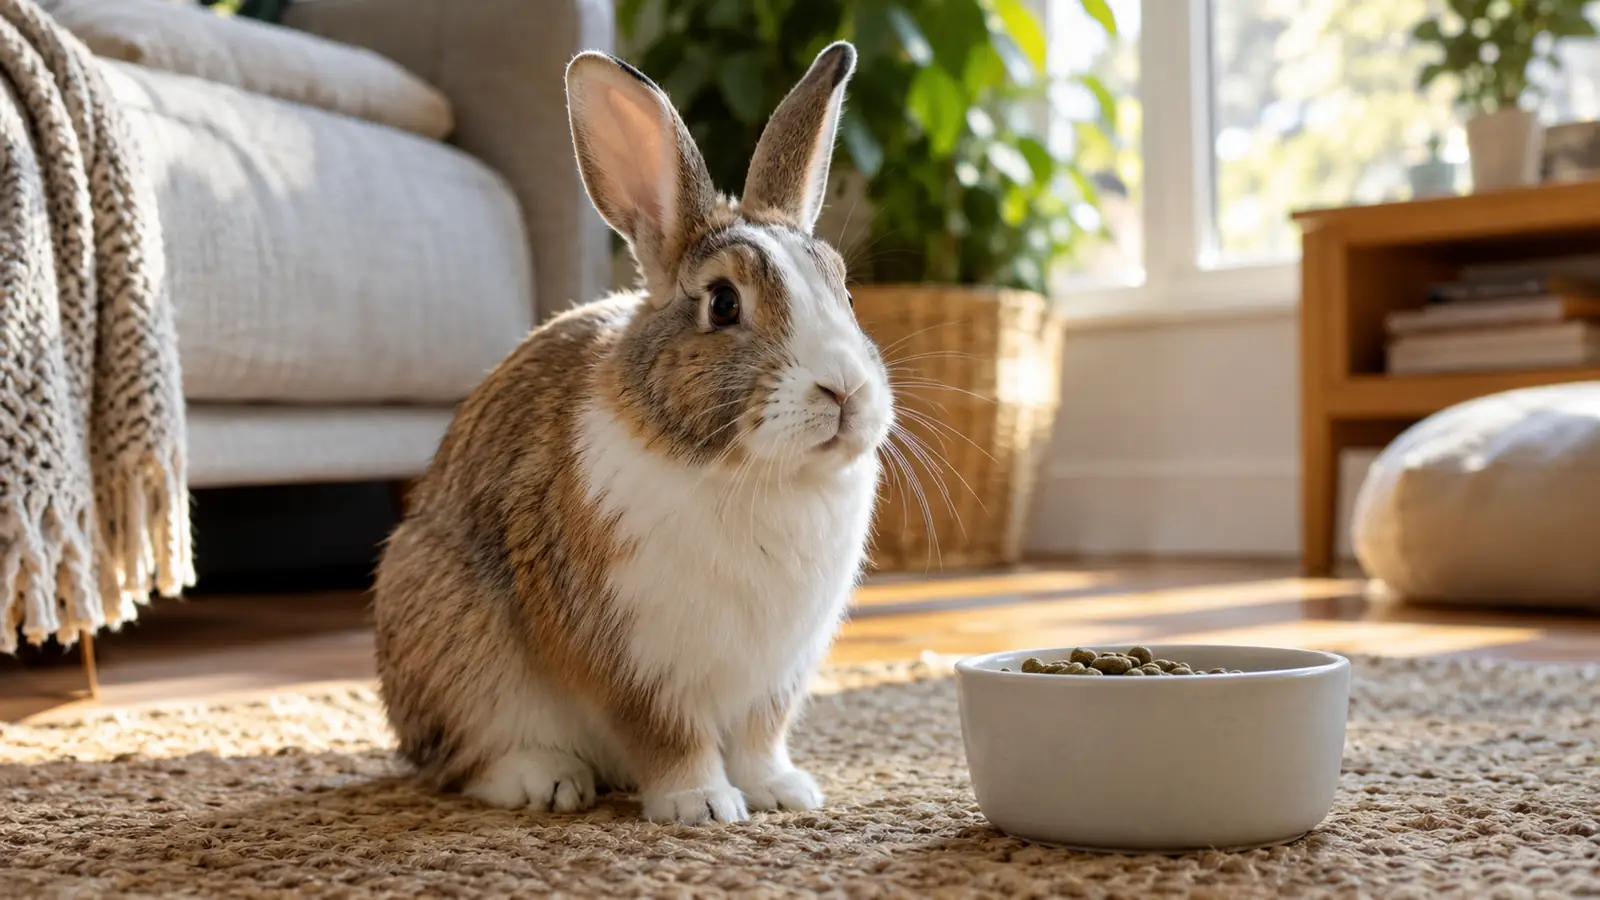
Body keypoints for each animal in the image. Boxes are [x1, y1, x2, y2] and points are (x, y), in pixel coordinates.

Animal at [371, 41, 894, 825]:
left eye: (845, 292)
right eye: (723, 302)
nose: (846, 391)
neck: (749, 472)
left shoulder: (775, 675)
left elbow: (759, 738)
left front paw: (781, 793)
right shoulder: (634, 656)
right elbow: (669, 734)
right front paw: (701, 806)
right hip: (454, 641)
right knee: (463, 761)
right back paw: (547, 780)